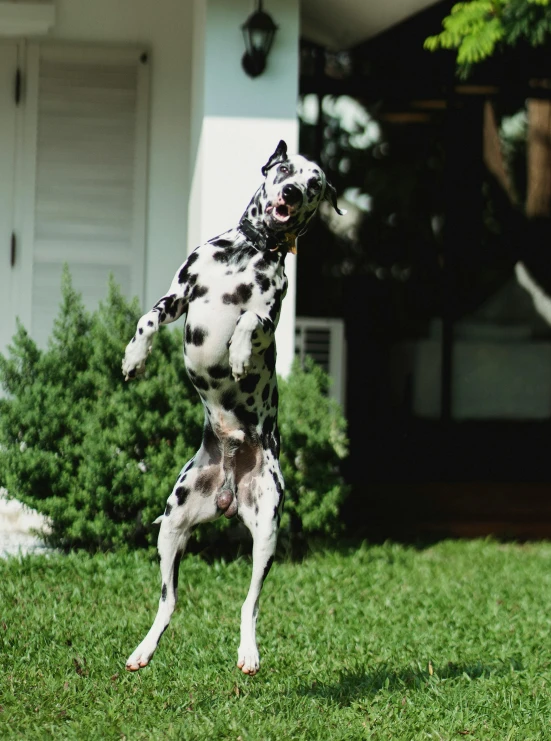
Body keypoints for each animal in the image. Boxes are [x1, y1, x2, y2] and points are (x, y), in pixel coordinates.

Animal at [123, 140, 342, 676]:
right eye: (285, 169)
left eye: (315, 182)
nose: (292, 191)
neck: (248, 252)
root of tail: (227, 489)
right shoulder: (180, 295)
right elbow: (148, 319)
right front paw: (135, 358)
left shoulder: (270, 311)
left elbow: (249, 321)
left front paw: (241, 355)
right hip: (172, 526)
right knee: (169, 602)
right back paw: (144, 649)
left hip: (266, 536)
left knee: (249, 604)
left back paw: (248, 651)